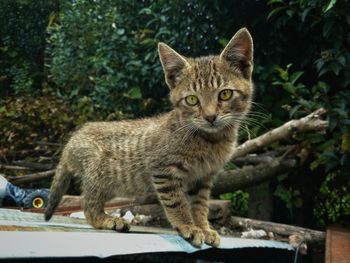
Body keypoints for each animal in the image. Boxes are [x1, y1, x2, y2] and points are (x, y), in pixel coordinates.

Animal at [45, 27, 254, 249]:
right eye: (192, 99)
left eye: (225, 94)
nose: (210, 116)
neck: (211, 140)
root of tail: (74, 138)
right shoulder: (163, 170)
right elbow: (177, 203)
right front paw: (188, 226)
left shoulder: (203, 179)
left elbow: (200, 206)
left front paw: (204, 228)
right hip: (98, 176)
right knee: (88, 207)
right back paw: (108, 220)